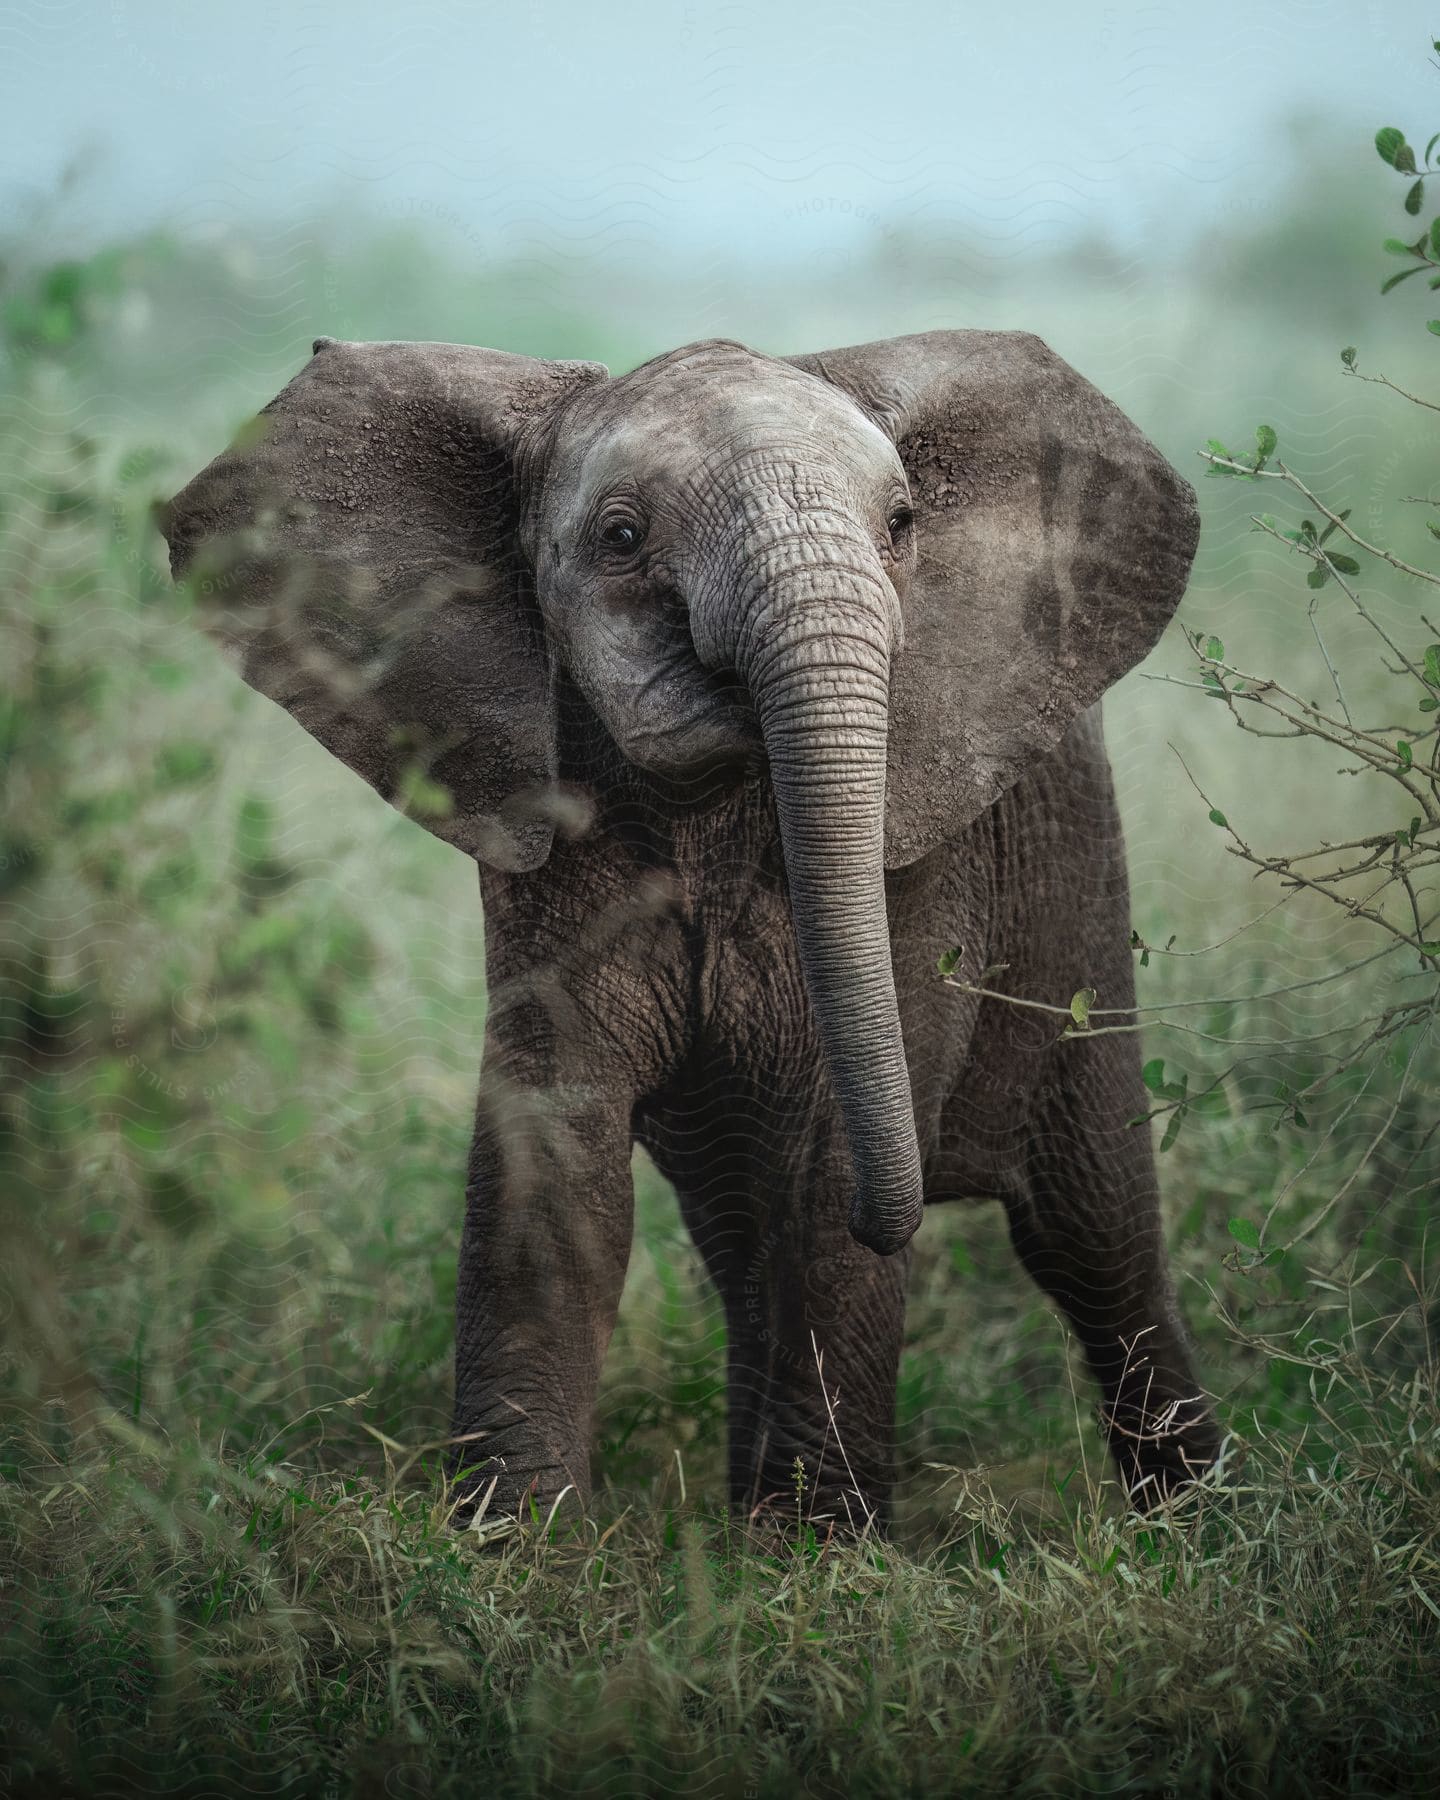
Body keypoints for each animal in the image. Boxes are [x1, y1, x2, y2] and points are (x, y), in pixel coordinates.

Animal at [162, 327, 1224, 1533]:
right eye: (621, 541)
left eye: (902, 524)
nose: (903, 1213)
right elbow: (556, 1150)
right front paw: (517, 1546)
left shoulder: (924, 864)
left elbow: (829, 1163)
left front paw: (816, 1557)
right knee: (744, 1239)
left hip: (1082, 901)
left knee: (1091, 1232)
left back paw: (1195, 1525)